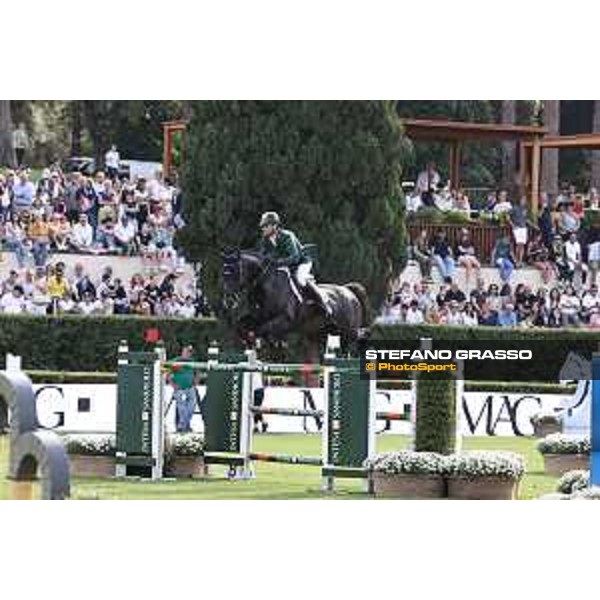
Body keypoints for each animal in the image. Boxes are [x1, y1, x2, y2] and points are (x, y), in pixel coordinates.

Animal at [221, 251, 370, 350]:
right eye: (224, 274)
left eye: (234, 273)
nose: (228, 301)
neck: (265, 285)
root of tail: (349, 291)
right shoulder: (258, 317)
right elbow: (241, 325)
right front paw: (250, 342)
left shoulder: (285, 319)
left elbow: (263, 329)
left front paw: (271, 343)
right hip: (320, 334)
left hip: (348, 332)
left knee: (355, 340)